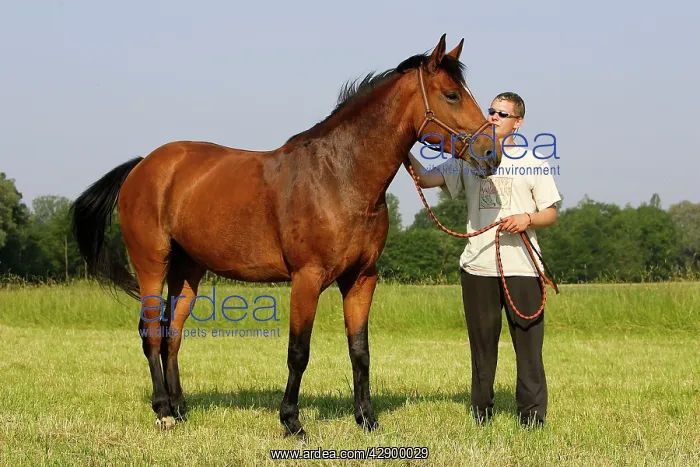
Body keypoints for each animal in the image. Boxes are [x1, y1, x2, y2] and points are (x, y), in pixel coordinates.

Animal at [69, 33, 503, 438]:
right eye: (451, 95)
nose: (491, 153)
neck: (340, 176)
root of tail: (144, 165)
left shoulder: (362, 279)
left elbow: (359, 351)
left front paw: (366, 419)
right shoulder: (306, 278)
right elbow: (299, 352)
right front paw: (291, 421)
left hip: (187, 270)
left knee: (172, 333)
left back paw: (180, 408)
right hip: (152, 264)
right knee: (151, 333)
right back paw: (162, 411)